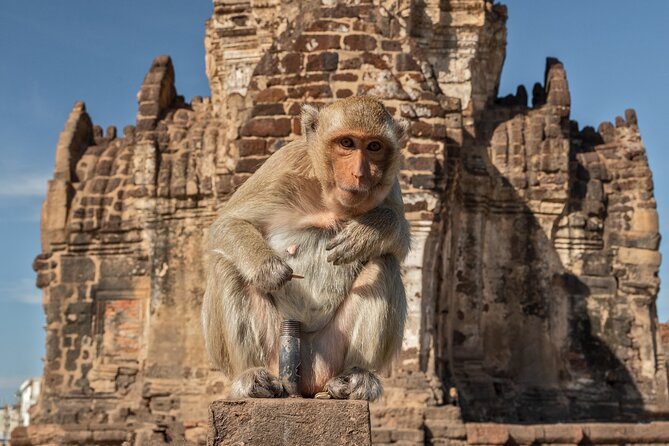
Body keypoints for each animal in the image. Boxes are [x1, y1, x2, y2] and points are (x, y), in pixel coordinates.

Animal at [201, 96, 410, 401]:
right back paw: (250, 378)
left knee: (384, 263)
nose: (360, 174)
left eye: (374, 146)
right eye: (347, 143)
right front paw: (267, 268)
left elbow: (401, 242)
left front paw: (371, 231)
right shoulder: (283, 164)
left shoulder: (391, 185)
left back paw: (357, 378)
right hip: (276, 348)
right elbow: (227, 223)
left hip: (329, 351)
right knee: (224, 266)